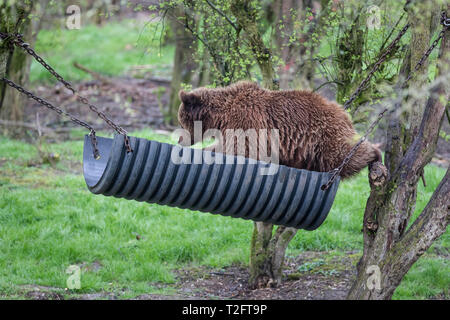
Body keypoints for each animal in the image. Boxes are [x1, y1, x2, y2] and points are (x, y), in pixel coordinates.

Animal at [178, 81, 382, 179]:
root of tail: (343, 112)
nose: (180, 141)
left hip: (326, 135)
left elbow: (239, 148)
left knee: (344, 155)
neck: (221, 116)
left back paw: (376, 153)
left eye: (181, 122)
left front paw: (205, 150)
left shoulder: (246, 121)